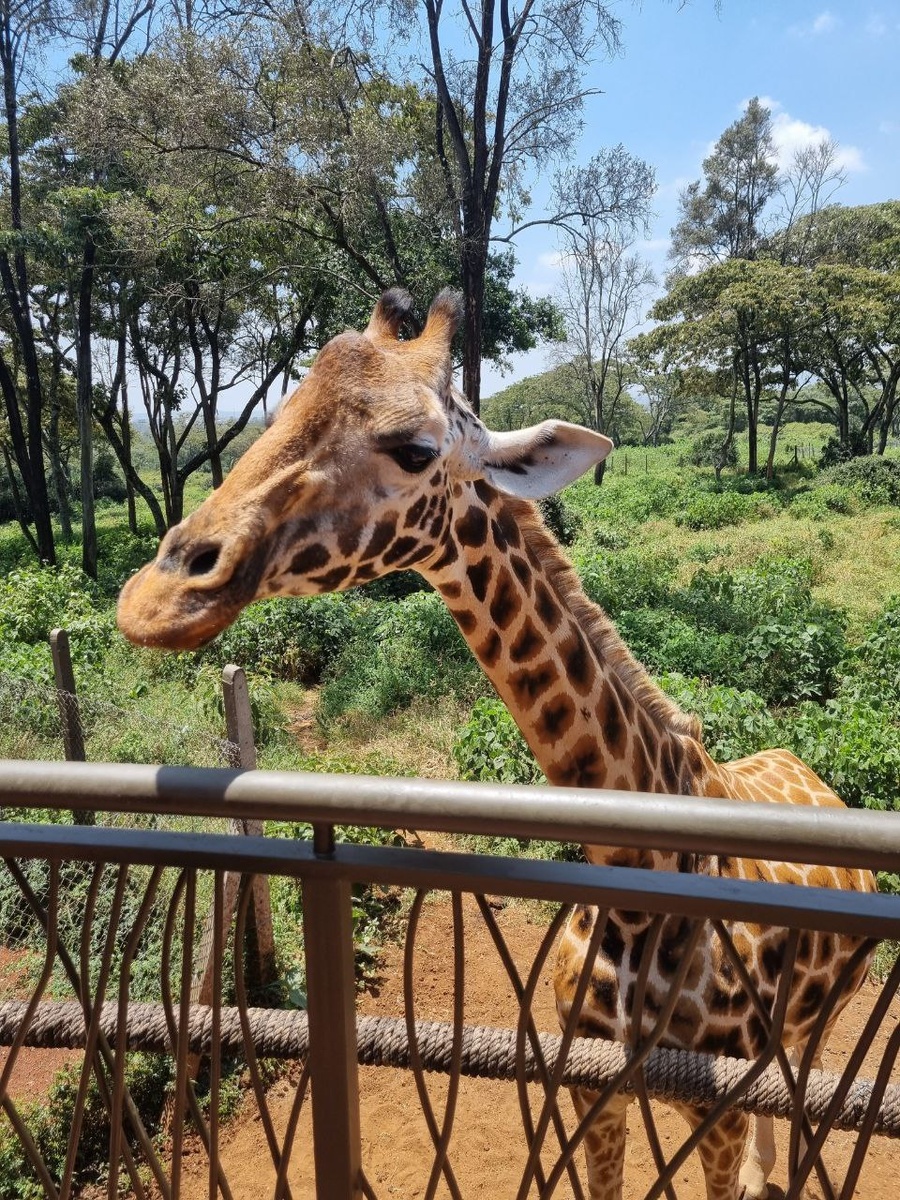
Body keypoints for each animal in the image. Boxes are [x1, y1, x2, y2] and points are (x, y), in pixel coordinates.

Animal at [117, 289, 875, 1200]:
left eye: (415, 450)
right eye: (280, 412)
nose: (155, 598)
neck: (637, 883)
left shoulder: (715, 1112)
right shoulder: (591, 1088)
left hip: (824, 1026)